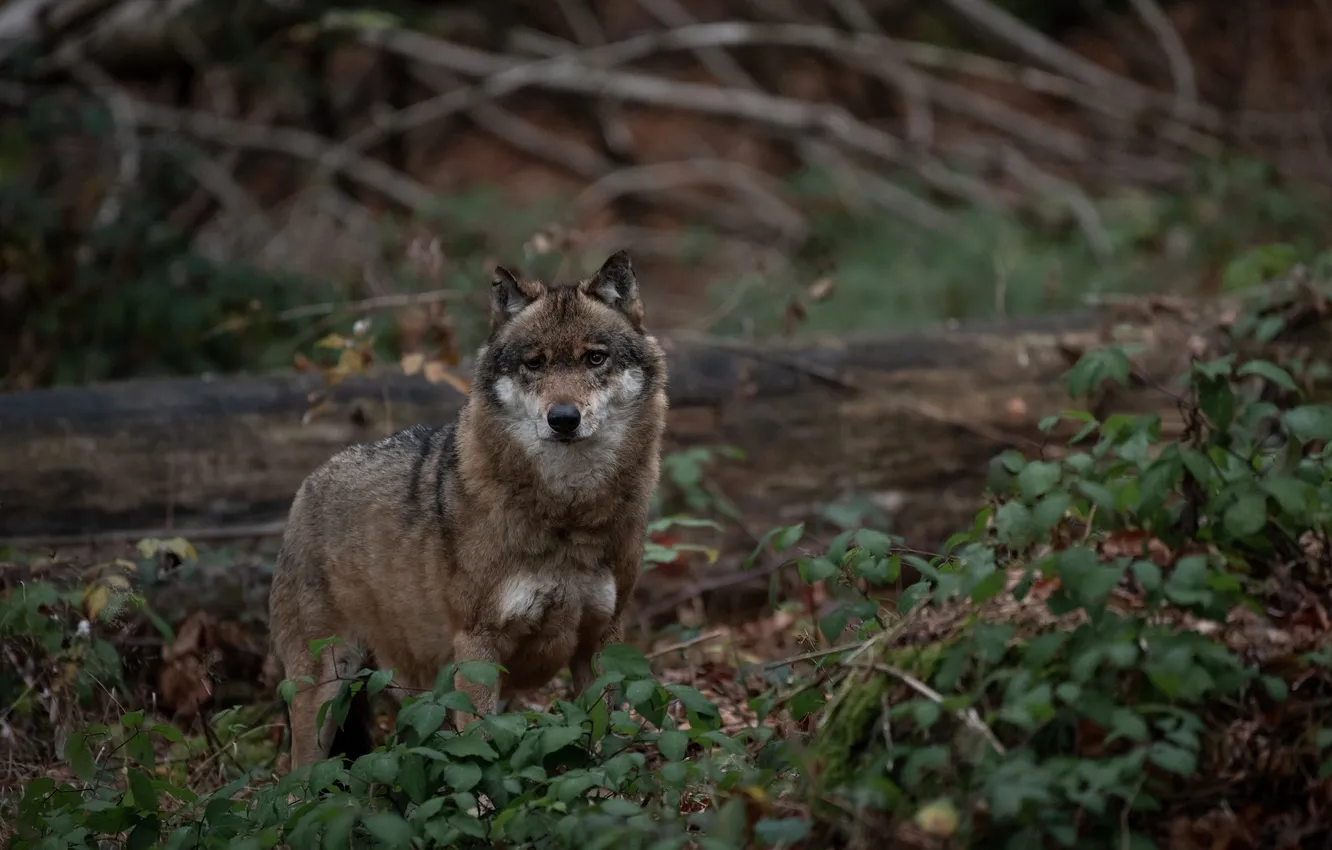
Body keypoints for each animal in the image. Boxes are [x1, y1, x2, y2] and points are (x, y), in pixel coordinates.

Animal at [267, 250, 668, 770]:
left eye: (594, 358)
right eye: (534, 363)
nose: (562, 419)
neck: (567, 512)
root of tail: (308, 484)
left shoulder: (602, 640)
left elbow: (600, 740)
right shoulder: (477, 646)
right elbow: (479, 749)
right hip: (326, 689)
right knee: (299, 777)